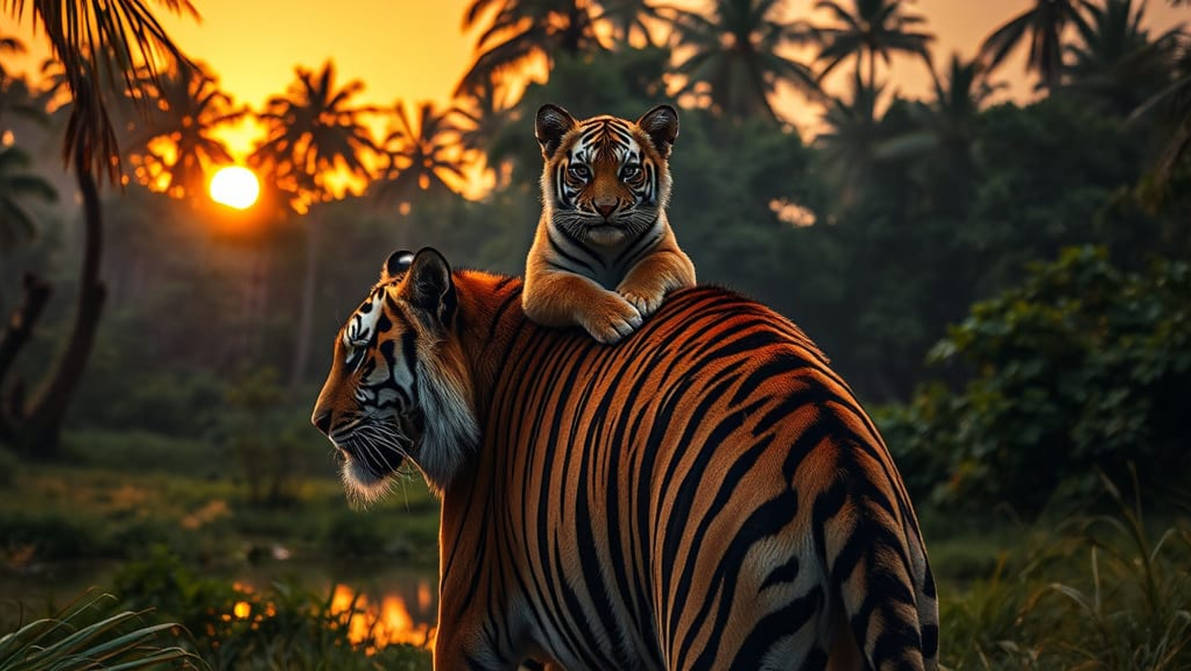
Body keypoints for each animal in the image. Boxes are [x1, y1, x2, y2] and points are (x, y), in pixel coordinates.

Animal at [522, 103, 697, 344]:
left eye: (629, 171)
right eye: (581, 171)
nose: (605, 207)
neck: (608, 248)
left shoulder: (675, 255)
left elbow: (653, 263)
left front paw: (635, 296)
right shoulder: (541, 277)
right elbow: (575, 284)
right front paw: (617, 317)